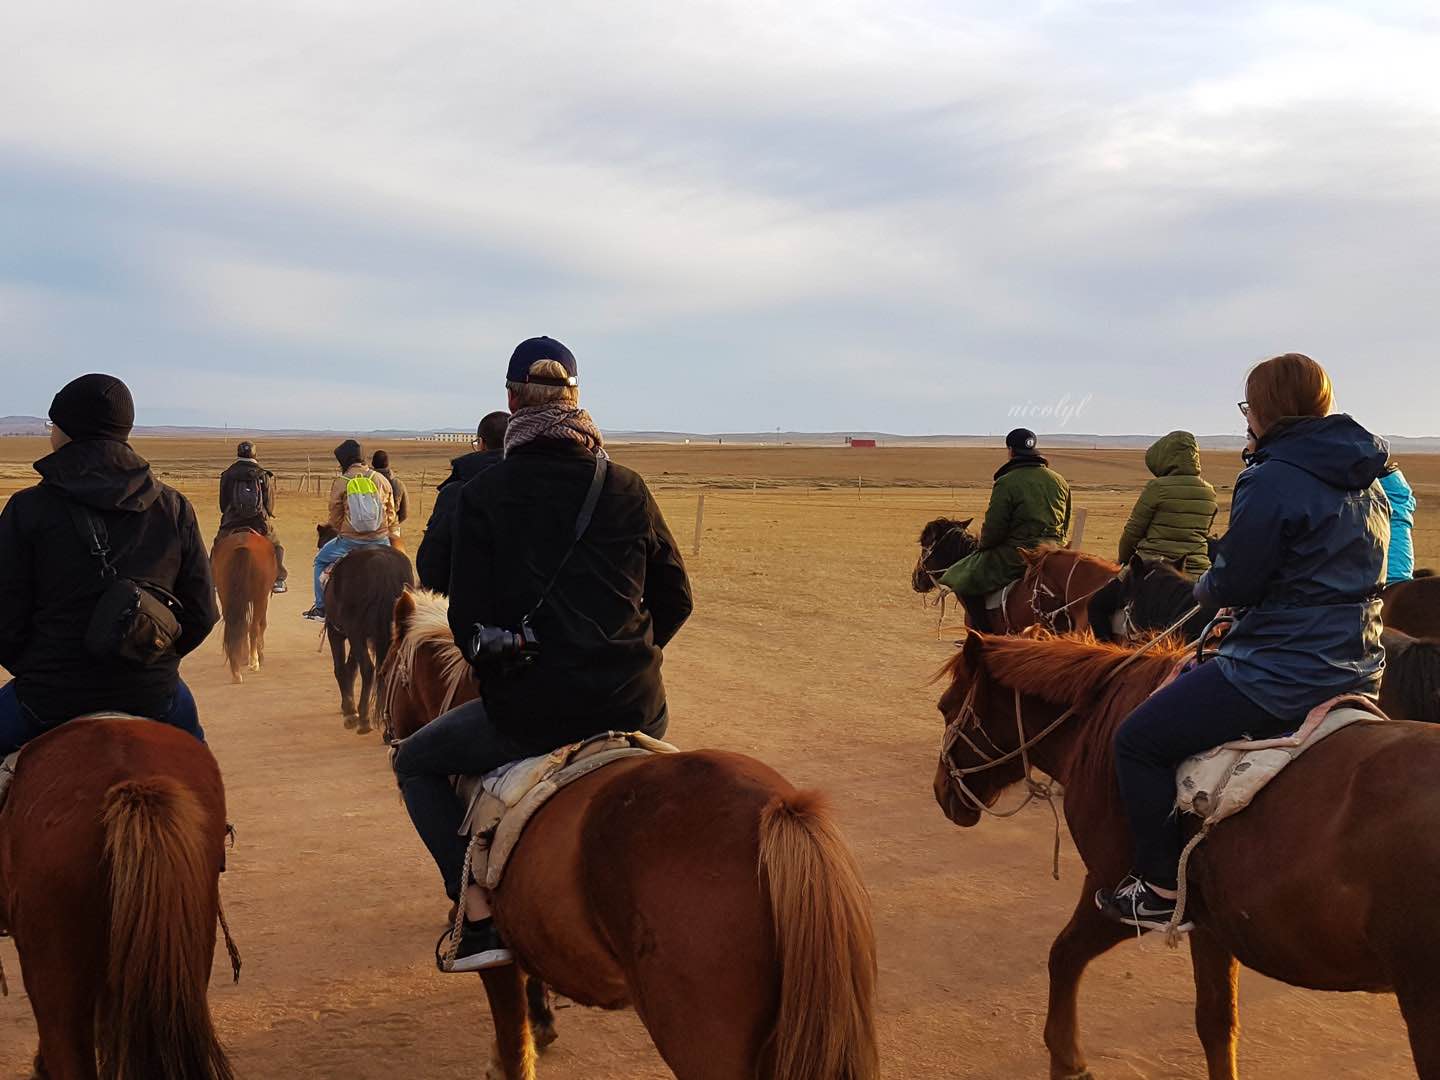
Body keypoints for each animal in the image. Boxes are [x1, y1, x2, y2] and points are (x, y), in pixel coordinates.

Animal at [208, 529, 275, 685]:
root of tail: (242, 547)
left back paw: (236, 671)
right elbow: (262, 625)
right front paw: (259, 655)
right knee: (253, 627)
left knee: (235, 626)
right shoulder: (263, 597)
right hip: (260, 598)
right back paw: (254, 662)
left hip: (225, 595)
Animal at [318, 527, 414, 737]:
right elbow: (351, 668)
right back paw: (387, 730)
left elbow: (341, 667)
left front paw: (349, 712)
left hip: (355, 632)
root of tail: (381, 564)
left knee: (368, 669)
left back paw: (363, 719)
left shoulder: (337, 632)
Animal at [380, 593, 875, 1080]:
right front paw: (543, 1022)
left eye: (383, 670)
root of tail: (778, 811)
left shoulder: (495, 961)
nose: (388, 735)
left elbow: (512, 1043)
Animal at [933, 633, 1440, 1080]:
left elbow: (1064, 955)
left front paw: (1067, 1061)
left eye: (945, 707)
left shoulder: (1115, 891)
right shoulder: (1212, 923)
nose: (941, 793)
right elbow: (1216, 1023)